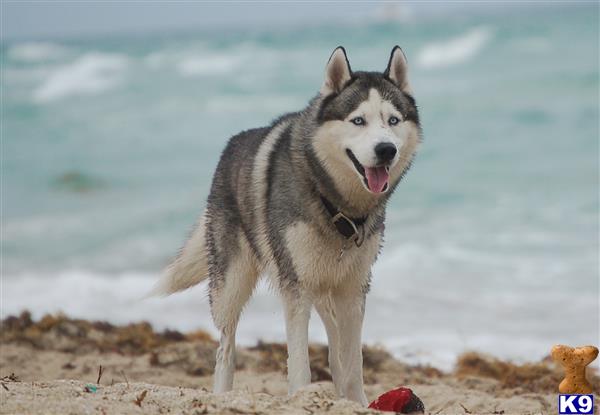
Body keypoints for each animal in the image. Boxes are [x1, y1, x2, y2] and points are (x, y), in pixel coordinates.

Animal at [152, 46, 420, 406]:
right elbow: (299, 361)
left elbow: (353, 363)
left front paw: (357, 403)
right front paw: (302, 395)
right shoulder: (296, 288)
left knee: (334, 346)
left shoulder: (353, 289)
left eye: (393, 120)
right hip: (231, 284)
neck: (336, 206)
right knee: (226, 346)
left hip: (323, 284)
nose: (386, 150)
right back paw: (222, 393)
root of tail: (231, 145)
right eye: (358, 120)